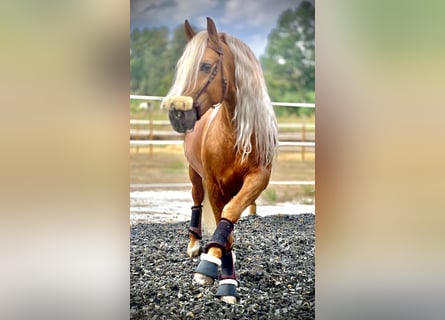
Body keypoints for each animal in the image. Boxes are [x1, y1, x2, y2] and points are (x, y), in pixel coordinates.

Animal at [161, 16, 276, 302]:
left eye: (205, 66)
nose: (177, 115)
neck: (236, 134)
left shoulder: (258, 179)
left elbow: (230, 216)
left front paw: (221, 276)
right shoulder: (214, 185)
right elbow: (227, 233)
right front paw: (215, 272)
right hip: (194, 175)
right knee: (196, 201)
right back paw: (194, 245)